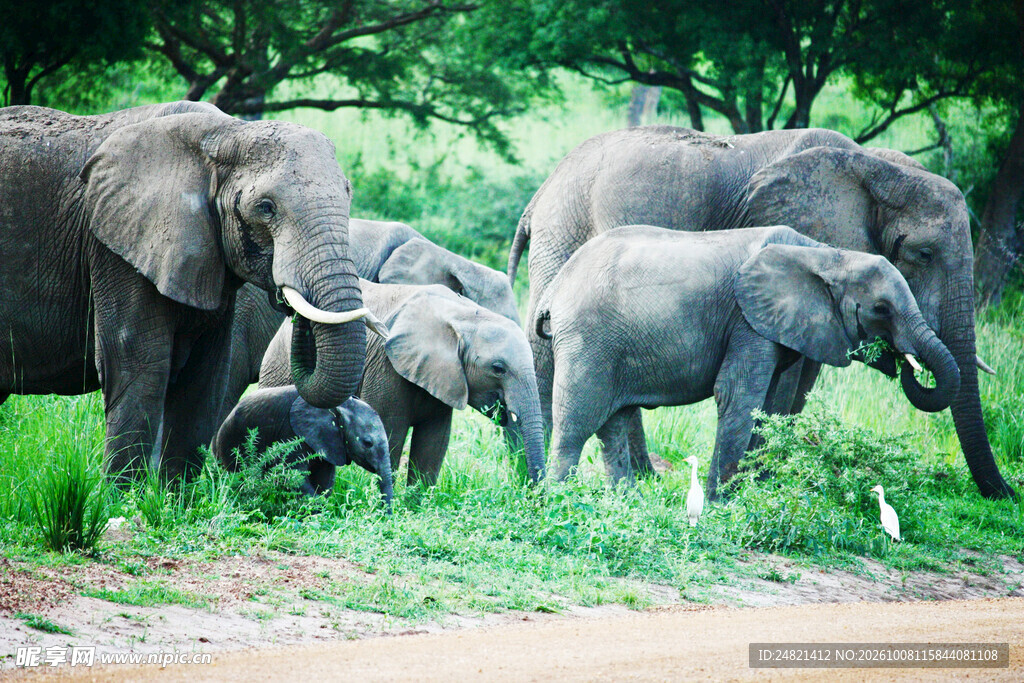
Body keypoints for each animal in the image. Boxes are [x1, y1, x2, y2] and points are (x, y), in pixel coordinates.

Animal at [0, 102, 376, 482]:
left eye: (348, 195)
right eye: (266, 207)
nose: (291, 304)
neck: (226, 134)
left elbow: (204, 379)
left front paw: (174, 496)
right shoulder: (116, 251)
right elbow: (139, 370)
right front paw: (124, 497)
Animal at [213, 386, 393, 505]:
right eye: (367, 443)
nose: (385, 516)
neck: (342, 406)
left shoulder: (329, 441)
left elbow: (325, 478)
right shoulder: (291, 433)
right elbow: (293, 475)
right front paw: (318, 509)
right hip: (230, 442)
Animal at [259, 281, 545, 486]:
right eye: (498, 369)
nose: (535, 498)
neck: (465, 316)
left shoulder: (445, 378)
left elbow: (433, 444)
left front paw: (415, 509)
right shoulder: (387, 366)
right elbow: (390, 434)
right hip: (279, 365)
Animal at [536, 225, 959, 498]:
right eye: (881, 309)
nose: (902, 360)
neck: (827, 254)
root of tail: (554, 290)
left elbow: (767, 407)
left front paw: (743, 497)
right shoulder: (748, 320)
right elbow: (738, 397)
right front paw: (718, 503)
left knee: (613, 421)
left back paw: (628, 502)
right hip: (588, 338)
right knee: (578, 420)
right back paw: (556, 500)